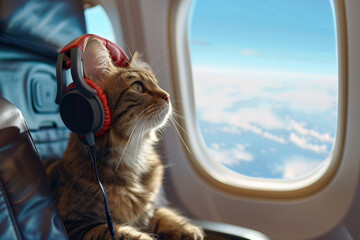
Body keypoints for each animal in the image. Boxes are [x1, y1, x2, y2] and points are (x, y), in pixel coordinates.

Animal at [46, 38, 204, 239]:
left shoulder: (148, 210)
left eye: (157, 84)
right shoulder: (74, 225)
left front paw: (187, 228)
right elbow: (118, 232)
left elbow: (162, 214)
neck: (133, 152)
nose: (167, 95)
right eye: (137, 87)